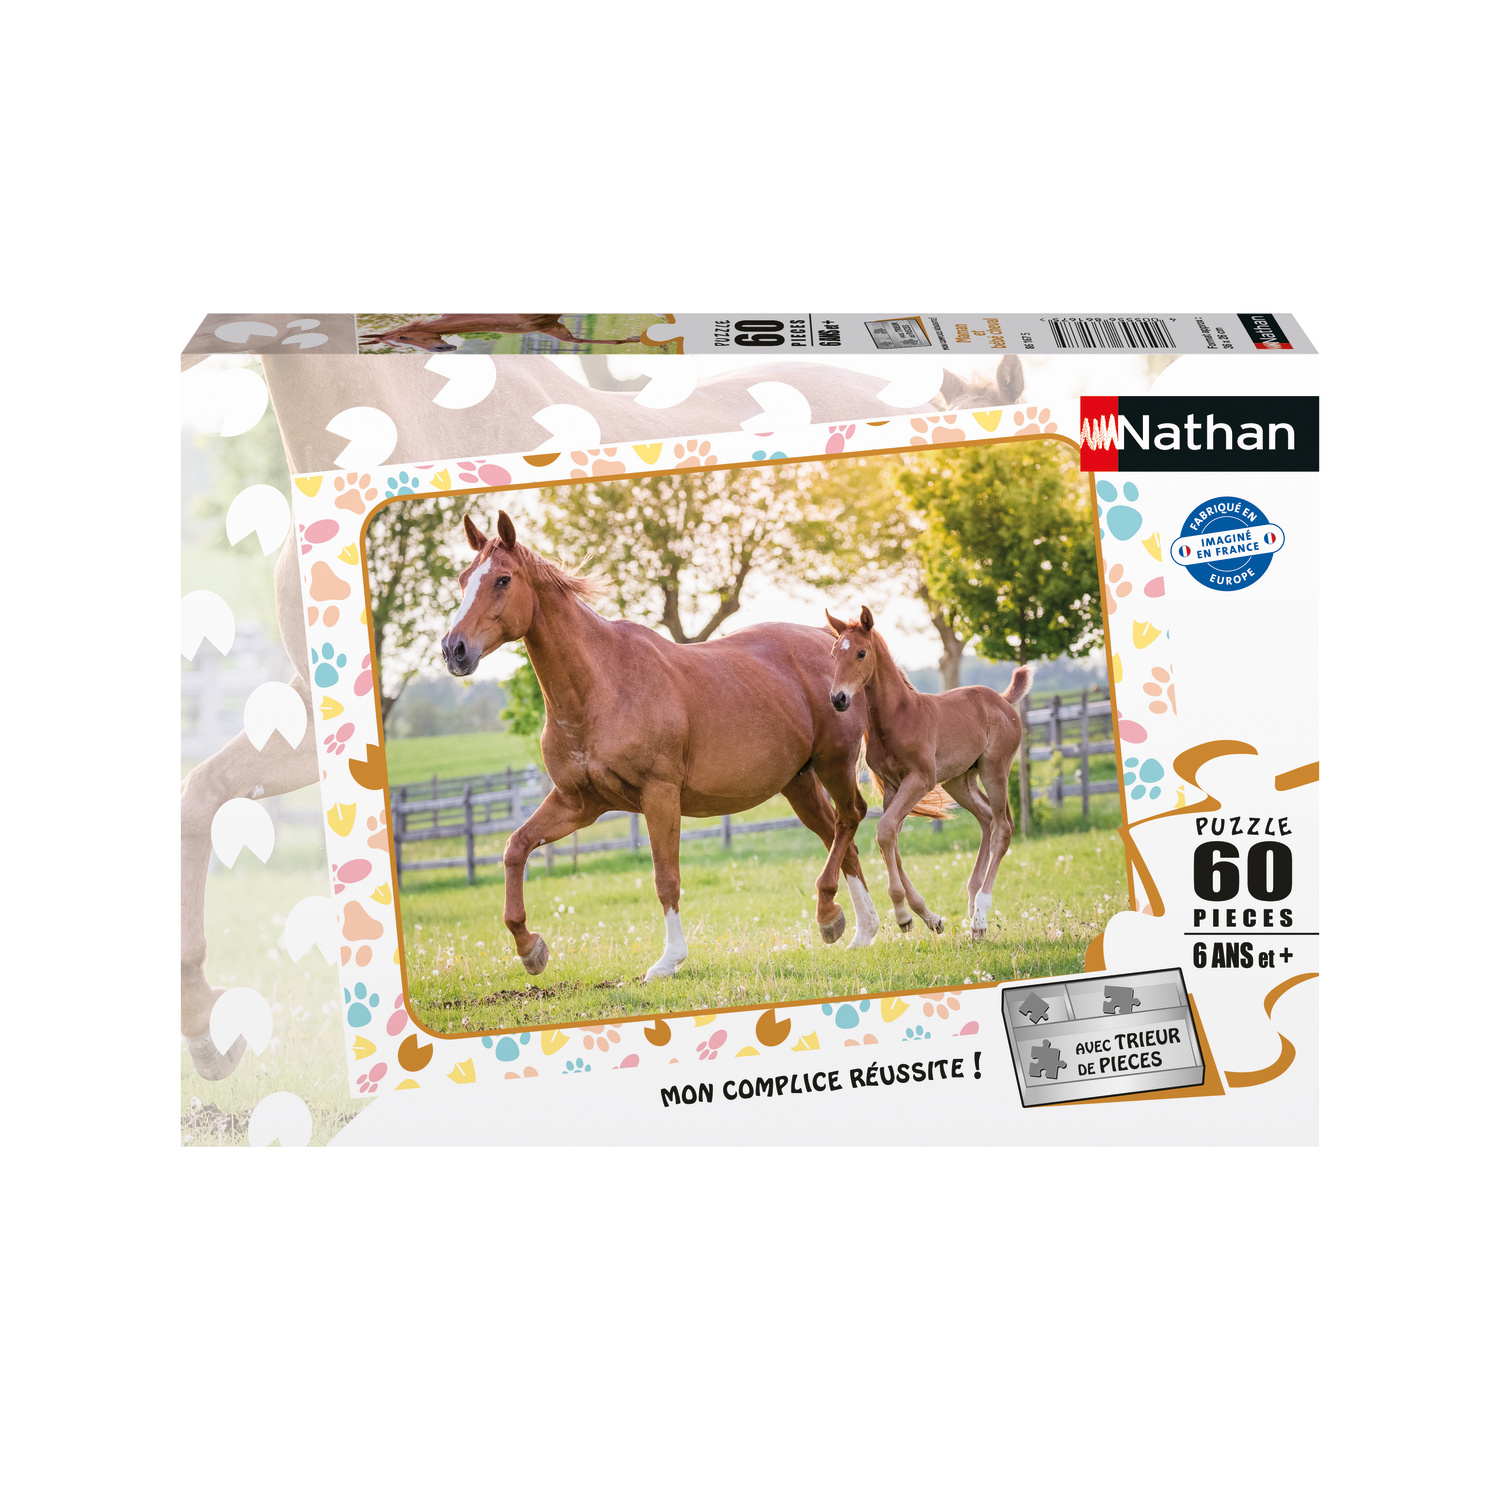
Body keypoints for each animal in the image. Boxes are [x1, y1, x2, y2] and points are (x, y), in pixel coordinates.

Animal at [441, 511, 882, 980]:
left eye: (503, 580)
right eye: (464, 579)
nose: (454, 650)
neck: (603, 686)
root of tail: (833, 645)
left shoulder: (660, 795)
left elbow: (665, 878)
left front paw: (669, 961)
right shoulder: (578, 803)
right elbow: (515, 848)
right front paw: (530, 948)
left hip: (834, 765)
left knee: (850, 818)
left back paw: (832, 915)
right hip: (798, 783)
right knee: (840, 836)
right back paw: (857, 929)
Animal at [826, 606, 1030, 940]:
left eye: (861, 653)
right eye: (833, 654)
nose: (838, 699)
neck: (898, 717)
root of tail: (1001, 700)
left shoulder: (920, 780)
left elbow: (885, 831)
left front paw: (902, 915)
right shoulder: (893, 786)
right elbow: (890, 838)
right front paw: (925, 916)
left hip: (995, 769)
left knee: (1003, 827)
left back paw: (980, 916)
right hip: (959, 781)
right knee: (987, 819)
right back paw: (973, 906)